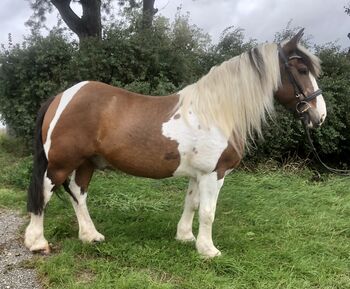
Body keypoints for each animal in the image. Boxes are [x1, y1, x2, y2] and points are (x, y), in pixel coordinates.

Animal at [23, 29, 326, 256]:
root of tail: (62, 96)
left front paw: (185, 237)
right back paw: (37, 242)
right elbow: (208, 211)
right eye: (301, 69)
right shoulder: (214, 174)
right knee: (45, 193)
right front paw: (208, 250)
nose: (320, 115)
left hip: (87, 162)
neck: (217, 112)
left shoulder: (198, 174)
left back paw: (90, 235)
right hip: (60, 163)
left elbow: (191, 204)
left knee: (78, 193)